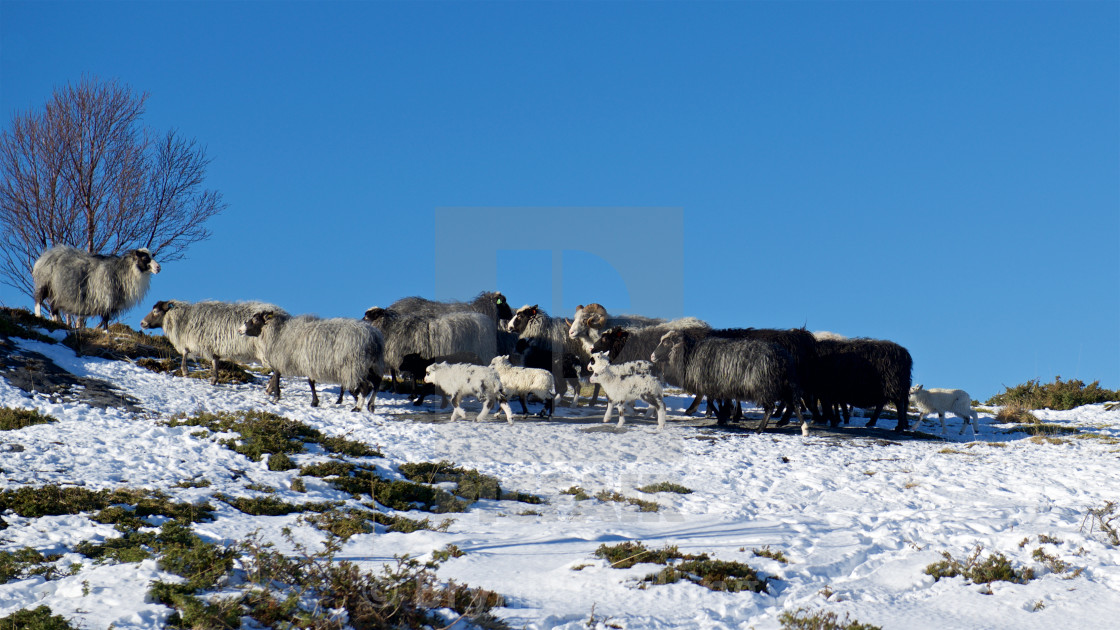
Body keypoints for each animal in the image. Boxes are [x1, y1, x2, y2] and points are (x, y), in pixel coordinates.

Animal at [32, 244, 161, 331]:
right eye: (145, 258)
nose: (158, 268)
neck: (124, 271)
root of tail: (44, 256)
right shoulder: (106, 299)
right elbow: (106, 319)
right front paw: (106, 332)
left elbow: (105, 319)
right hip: (45, 284)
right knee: (38, 300)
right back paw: (38, 316)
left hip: (56, 292)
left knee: (53, 307)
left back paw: (56, 322)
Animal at [138, 298, 284, 383]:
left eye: (156, 311)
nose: (142, 323)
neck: (184, 318)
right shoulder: (213, 347)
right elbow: (215, 364)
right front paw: (214, 380)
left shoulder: (196, 343)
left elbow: (185, 354)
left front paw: (185, 372)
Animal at [237, 309, 385, 412]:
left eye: (256, 319)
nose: (239, 330)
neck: (279, 332)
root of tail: (373, 338)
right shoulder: (308, 362)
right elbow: (311, 382)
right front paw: (315, 401)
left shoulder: (285, 359)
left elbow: (278, 375)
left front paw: (276, 396)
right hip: (372, 365)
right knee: (377, 384)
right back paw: (370, 406)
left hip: (354, 367)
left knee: (366, 387)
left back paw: (358, 407)